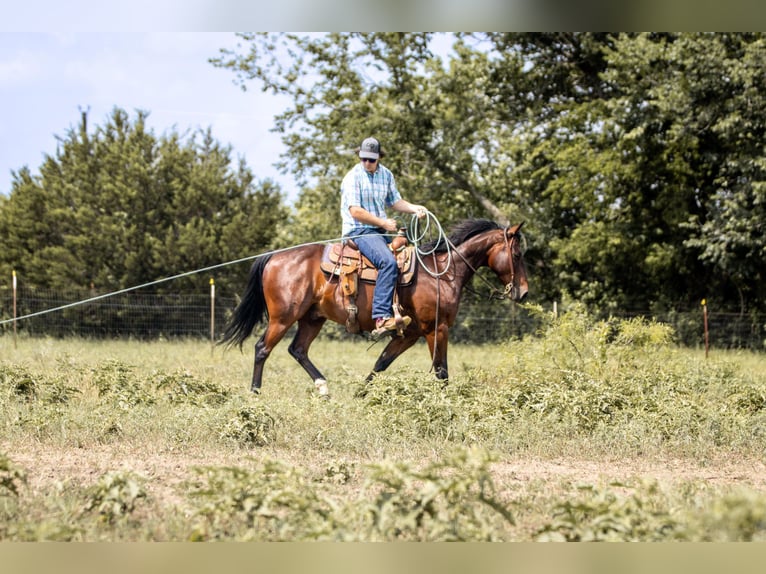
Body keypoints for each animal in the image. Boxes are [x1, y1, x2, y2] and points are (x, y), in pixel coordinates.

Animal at [222, 219, 528, 396]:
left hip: (312, 318)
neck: (442, 272)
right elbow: (441, 371)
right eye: (516, 254)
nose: (523, 292)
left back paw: (323, 387)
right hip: (283, 318)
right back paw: (255, 393)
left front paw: (360, 394)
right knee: (262, 348)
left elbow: (381, 363)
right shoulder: (436, 329)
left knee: (297, 350)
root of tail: (274, 257)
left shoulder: (410, 334)